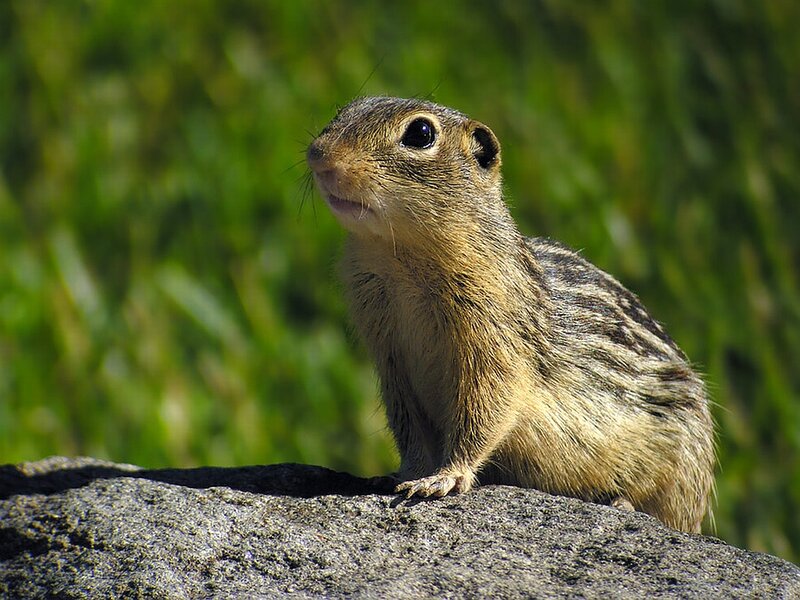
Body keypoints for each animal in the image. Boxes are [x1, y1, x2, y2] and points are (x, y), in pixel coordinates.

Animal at [306, 96, 715, 533]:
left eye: (420, 133)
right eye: (347, 108)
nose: (319, 154)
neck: (401, 261)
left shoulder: (496, 353)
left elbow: (482, 418)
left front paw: (444, 477)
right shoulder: (392, 363)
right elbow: (409, 430)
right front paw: (403, 475)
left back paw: (622, 503)